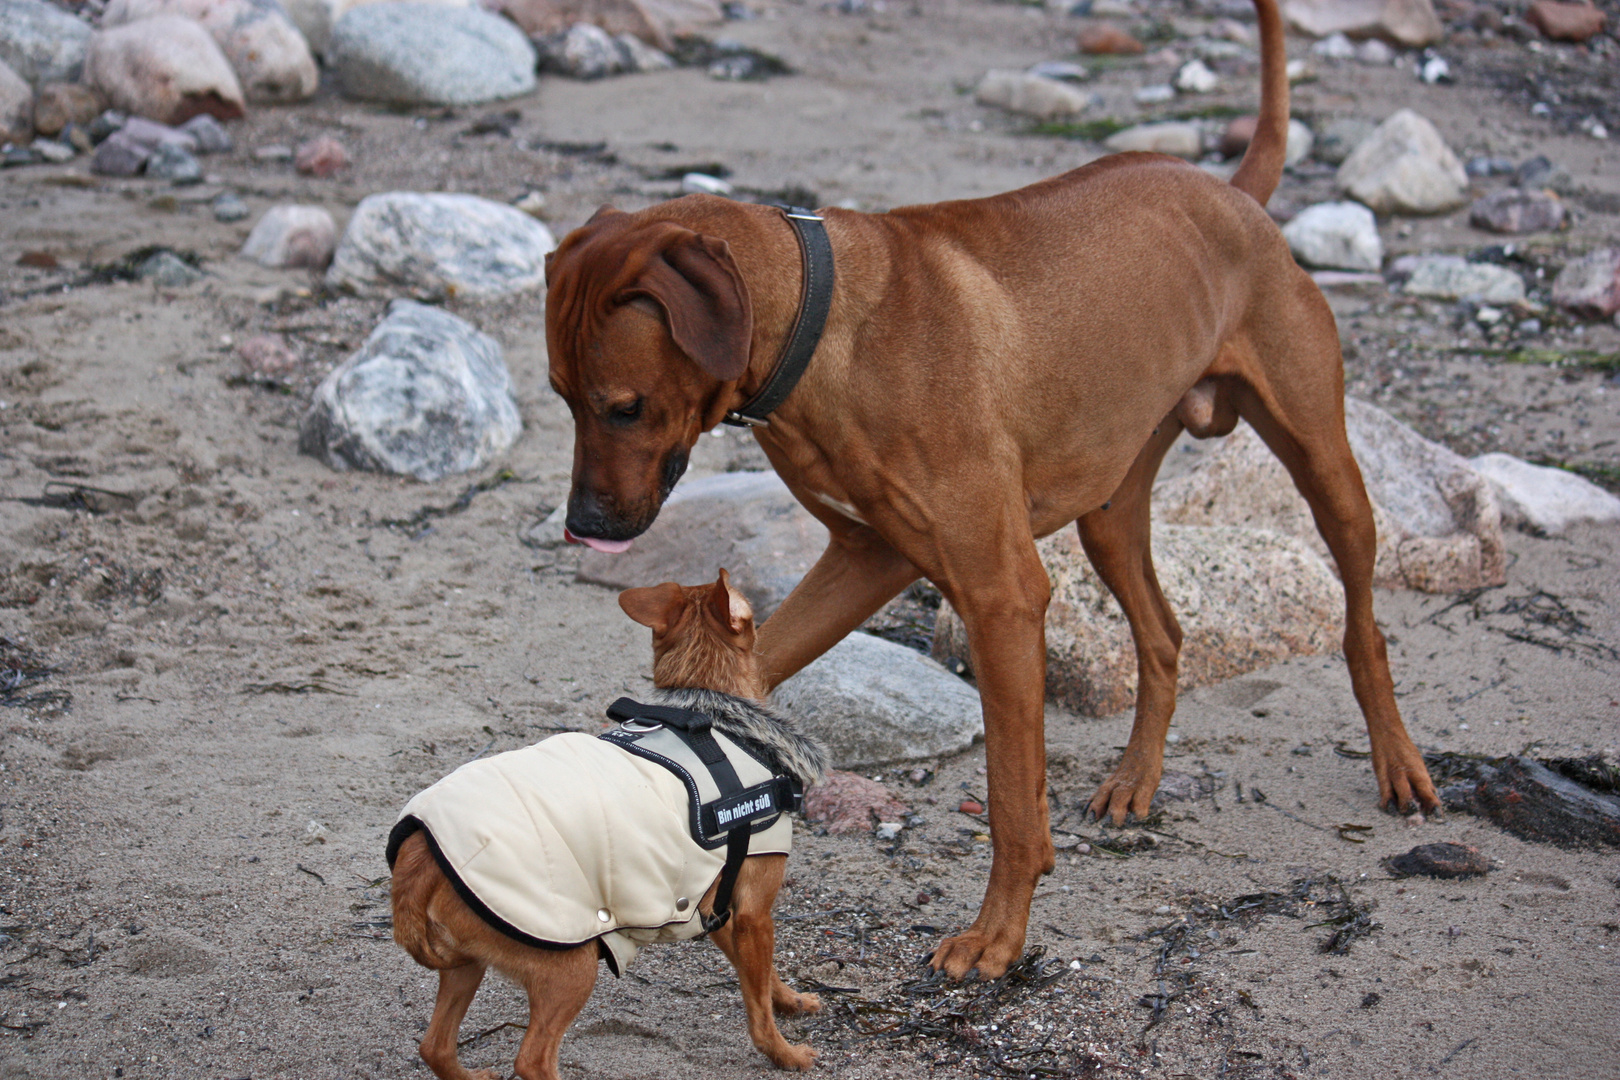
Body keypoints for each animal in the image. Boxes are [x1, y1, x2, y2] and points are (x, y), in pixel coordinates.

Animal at [388, 569, 822, 1075]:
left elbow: (765, 979)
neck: (709, 711)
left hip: (466, 966)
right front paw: (785, 1053)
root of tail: (418, 854)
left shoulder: (722, 911)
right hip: (570, 965)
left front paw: (790, 1002)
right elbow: (758, 1007)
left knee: (435, 1045)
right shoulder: (753, 914)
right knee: (532, 1060)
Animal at [547, 0, 1445, 984]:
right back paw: (1134, 781)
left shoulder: (1000, 596)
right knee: (1164, 637)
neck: (822, 327)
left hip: (1324, 466)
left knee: (1364, 626)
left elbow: (1013, 798)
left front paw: (997, 938)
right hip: (1110, 514)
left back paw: (1400, 765)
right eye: (561, 397)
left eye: (624, 407)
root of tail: (1232, 192)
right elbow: (753, 668)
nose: (582, 527)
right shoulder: (865, 558)